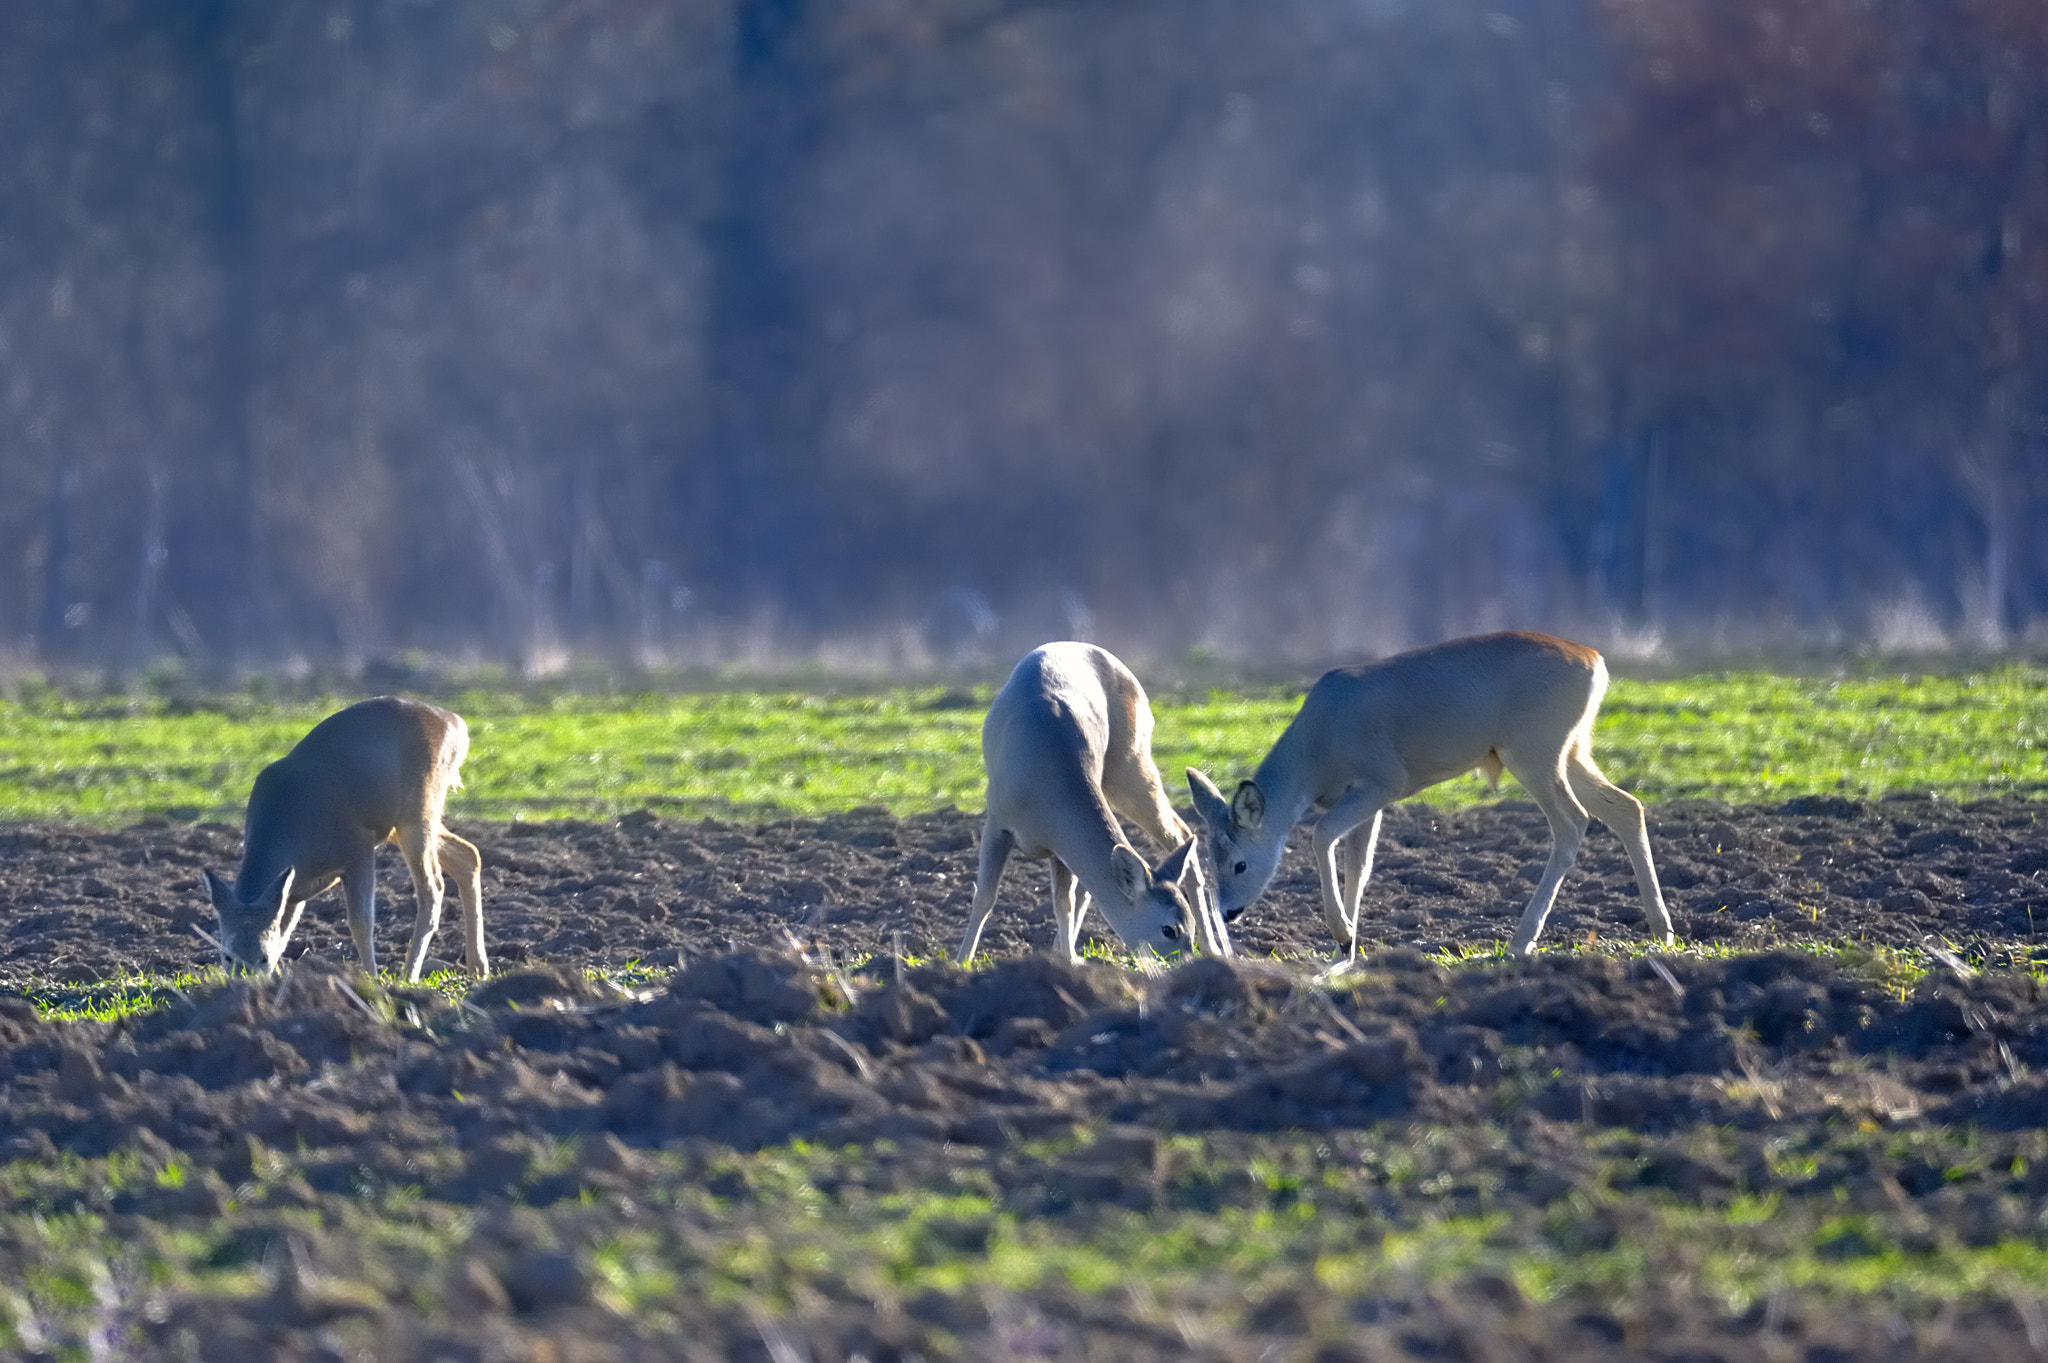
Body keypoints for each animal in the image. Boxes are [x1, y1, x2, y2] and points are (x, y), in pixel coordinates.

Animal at [200, 696, 488, 983]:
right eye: (226, 956)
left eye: (263, 957)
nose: (244, 984)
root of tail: (457, 723)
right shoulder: (292, 890)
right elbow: (282, 935)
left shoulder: (358, 847)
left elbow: (361, 922)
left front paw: (372, 979)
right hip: (401, 822)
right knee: (468, 854)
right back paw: (478, 965)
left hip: (418, 808)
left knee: (433, 888)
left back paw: (409, 974)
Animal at [957, 642, 1232, 965]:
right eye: (1169, 929)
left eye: (1188, 926)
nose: (1186, 960)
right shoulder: (999, 822)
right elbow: (986, 896)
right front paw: (961, 960)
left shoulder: (1060, 841)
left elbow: (1064, 901)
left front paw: (1068, 959)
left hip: (1132, 764)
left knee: (1179, 831)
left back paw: (1214, 947)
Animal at [1185, 631, 1672, 958]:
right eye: (1209, 858)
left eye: (1240, 863)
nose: (1227, 912)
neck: (1316, 752)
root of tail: (1596, 662)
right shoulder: (1370, 799)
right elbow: (1359, 865)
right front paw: (1348, 947)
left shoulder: (1383, 779)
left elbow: (1322, 834)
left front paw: (1341, 932)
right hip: (1572, 747)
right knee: (1627, 807)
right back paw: (1661, 928)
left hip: (1534, 749)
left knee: (1573, 823)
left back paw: (1521, 941)